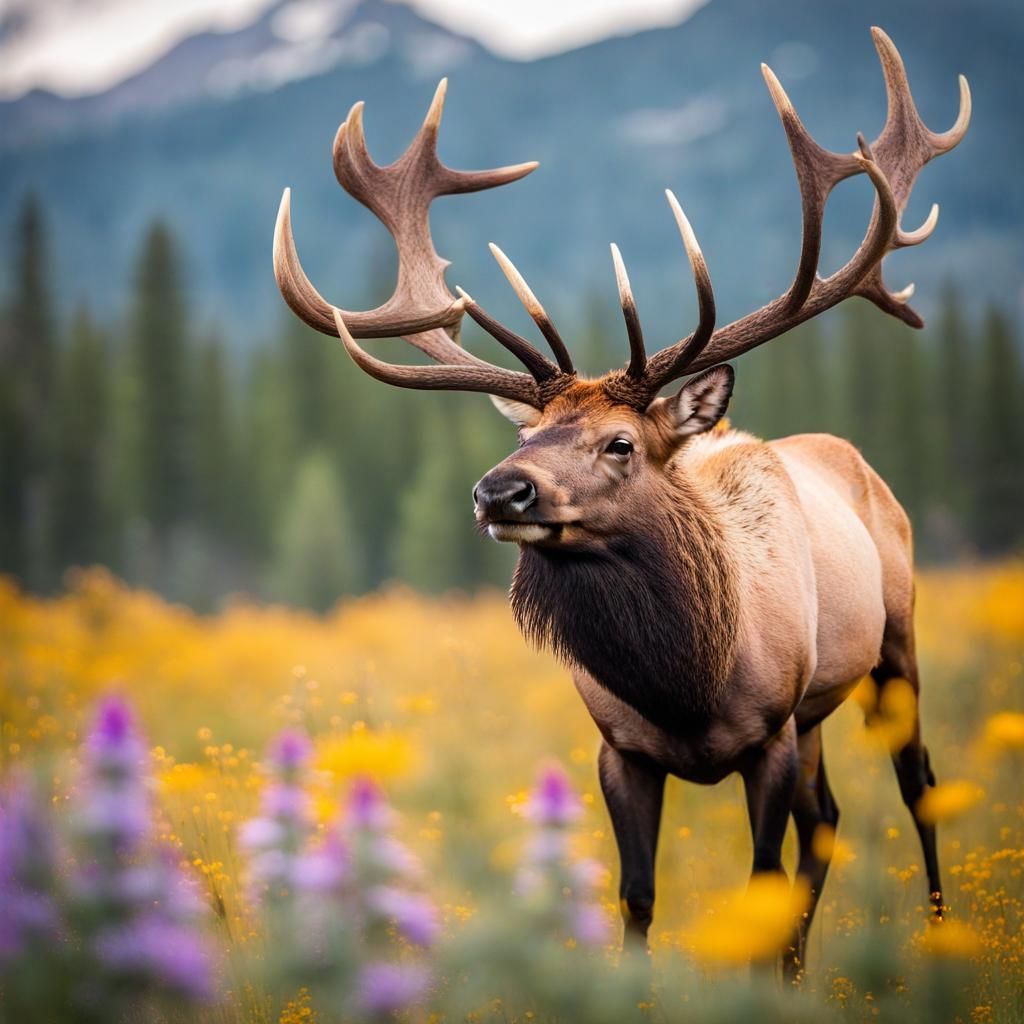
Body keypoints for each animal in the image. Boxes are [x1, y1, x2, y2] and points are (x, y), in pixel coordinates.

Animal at [273, 27, 970, 976]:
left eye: (621, 444)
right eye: (529, 436)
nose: (499, 489)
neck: (688, 685)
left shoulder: (769, 734)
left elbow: (758, 883)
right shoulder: (620, 750)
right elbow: (637, 899)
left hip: (894, 642)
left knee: (917, 784)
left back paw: (937, 937)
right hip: (821, 712)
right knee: (827, 820)